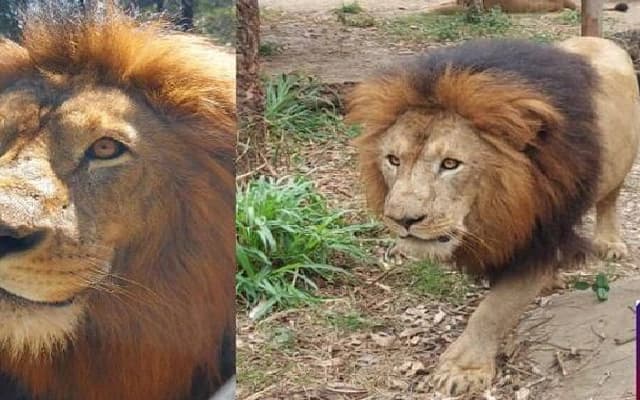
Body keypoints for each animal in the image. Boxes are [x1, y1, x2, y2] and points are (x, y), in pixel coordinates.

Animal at [347, 37, 639, 395]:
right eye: (393, 160)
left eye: (450, 164)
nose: (402, 220)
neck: (501, 206)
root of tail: (599, 39)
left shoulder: (539, 238)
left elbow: (493, 310)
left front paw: (463, 368)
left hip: (621, 164)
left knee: (610, 199)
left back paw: (609, 242)